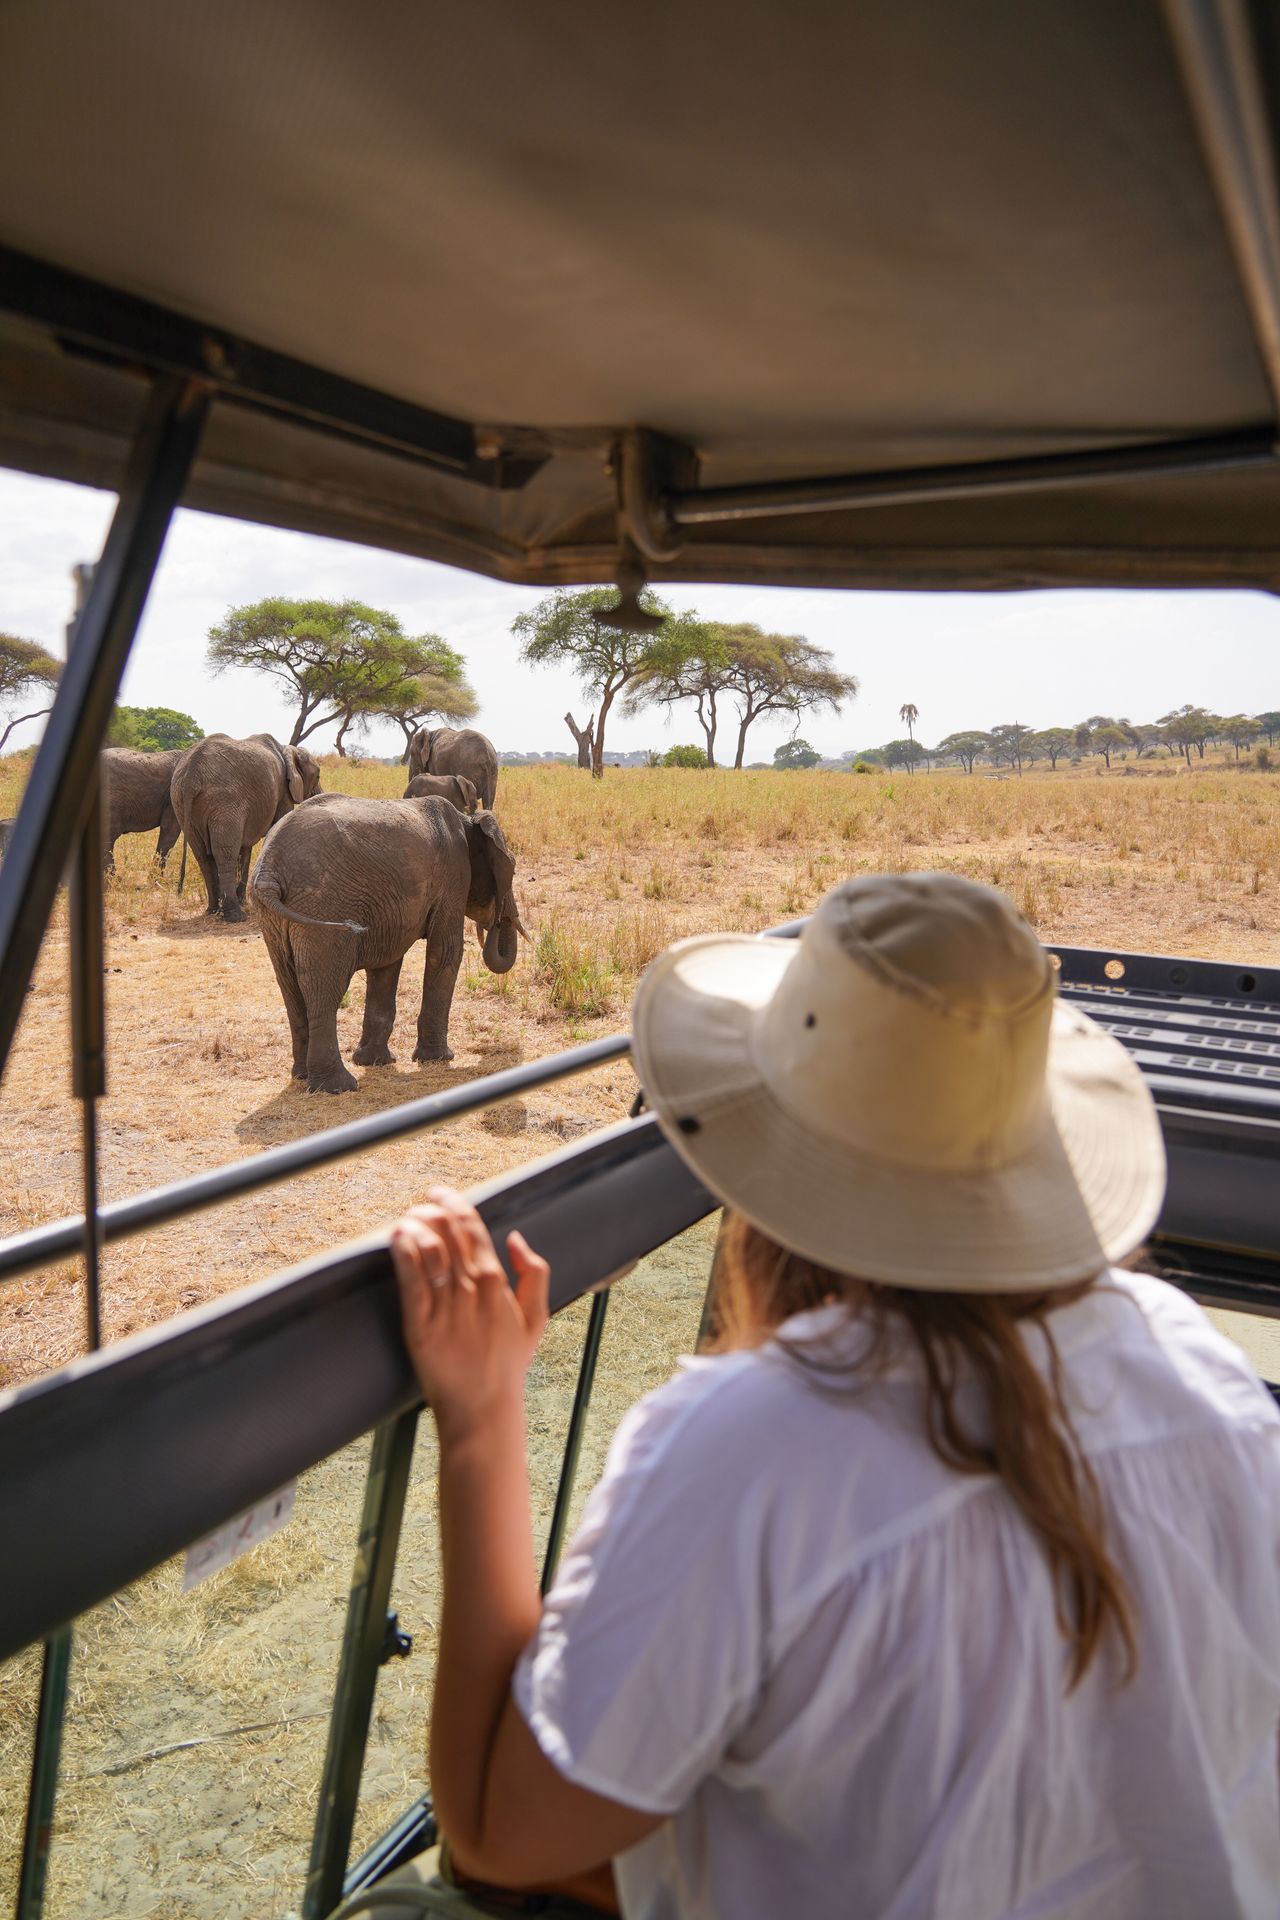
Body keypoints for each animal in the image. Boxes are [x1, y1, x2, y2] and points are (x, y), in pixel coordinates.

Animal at [171, 733, 321, 923]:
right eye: (318, 775)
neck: (286, 748)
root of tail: (191, 775)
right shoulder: (282, 793)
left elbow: (245, 848)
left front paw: (243, 900)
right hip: (224, 802)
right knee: (225, 854)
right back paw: (235, 916)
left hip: (181, 805)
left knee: (202, 856)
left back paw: (213, 910)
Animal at [249, 793, 525, 1093]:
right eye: (511, 870)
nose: (495, 921)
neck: (468, 820)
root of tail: (269, 869)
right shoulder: (454, 875)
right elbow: (445, 953)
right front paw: (439, 1058)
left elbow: (386, 965)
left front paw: (375, 1062)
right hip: (323, 905)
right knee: (325, 986)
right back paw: (338, 1087)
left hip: (274, 918)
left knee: (290, 985)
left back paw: (302, 1076)